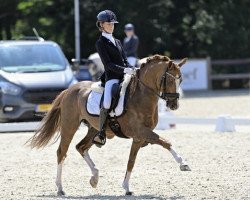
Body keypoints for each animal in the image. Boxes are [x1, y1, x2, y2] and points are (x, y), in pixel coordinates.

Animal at [26, 54, 189, 195]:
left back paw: (95, 177)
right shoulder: (140, 131)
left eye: (180, 80)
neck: (140, 97)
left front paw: (126, 187)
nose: (174, 105)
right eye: (170, 80)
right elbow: (165, 142)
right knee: (62, 152)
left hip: (93, 129)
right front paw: (183, 163)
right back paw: (60, 188)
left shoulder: (139, 137)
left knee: (81, 147)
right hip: (69, 126)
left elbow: (131, 160)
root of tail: (69, 90)